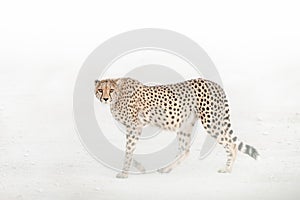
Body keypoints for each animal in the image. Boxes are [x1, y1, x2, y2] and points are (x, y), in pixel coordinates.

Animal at [95, 77, 258, 178]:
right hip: (185, 125)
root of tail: (215, 84)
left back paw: (227, 169)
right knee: (185, 150)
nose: (105, 98)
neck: (118, 96)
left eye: (110, 90)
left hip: (211, 123)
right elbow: (128, 150)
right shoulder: (133, 128)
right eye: (100, 90)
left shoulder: (135, 126)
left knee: (232, 145)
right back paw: (166, 169)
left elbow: (128, 150)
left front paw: (124, 173)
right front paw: (138, 167)